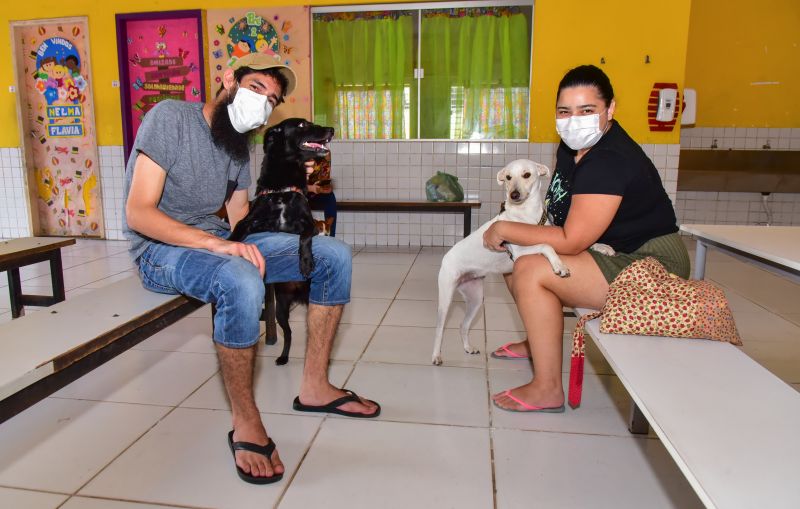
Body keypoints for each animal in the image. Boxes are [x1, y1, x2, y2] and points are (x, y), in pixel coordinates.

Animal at [228, 118, 334, 366]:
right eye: (302, 125)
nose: (332, 130)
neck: (282, 190)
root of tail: (296, 294)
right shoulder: (251, 222)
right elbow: (236, 232)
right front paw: (227, 246)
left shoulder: (309, 224)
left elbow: (304, 238)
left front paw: (306, 262)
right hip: (281, 310)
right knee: (288, 333)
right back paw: (284, 357)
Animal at [432, 159, 612, 366]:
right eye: (508, 177)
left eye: (527, 175)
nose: (514, 195)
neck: (527, 216)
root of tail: (447, 256)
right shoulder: (518, 252)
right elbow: (546, 245)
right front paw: (559, 265)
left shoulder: (561, 238)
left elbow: (580, 242)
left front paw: (603, 246)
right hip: (446, 298)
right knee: (439, 330)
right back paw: (436, 356)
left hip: (475, 298)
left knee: (463, 325)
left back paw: (468, 348)